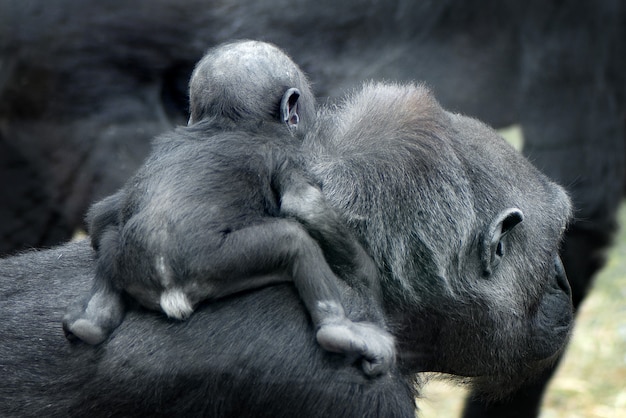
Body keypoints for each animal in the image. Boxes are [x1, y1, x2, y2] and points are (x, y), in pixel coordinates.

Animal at [64, 41, 394, 376]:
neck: (227, 122)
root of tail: (169, 292)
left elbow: (105, 211)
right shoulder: (284, 154)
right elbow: (305, 205)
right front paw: (369, 280)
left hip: (130, 261)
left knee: (108, 234)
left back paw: (92, 320)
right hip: (216, 265)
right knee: (293, 241)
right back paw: (338, 329)